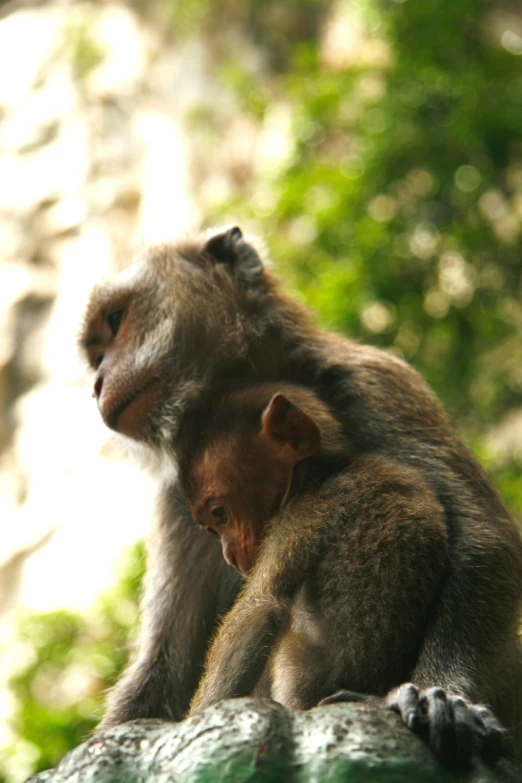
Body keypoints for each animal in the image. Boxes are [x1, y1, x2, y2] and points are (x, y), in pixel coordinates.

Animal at [180, 382, 508, 768]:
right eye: (213, 526)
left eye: (220, 514)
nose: (229, 555)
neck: (326, 470)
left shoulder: (299, 515)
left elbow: (260, 607)